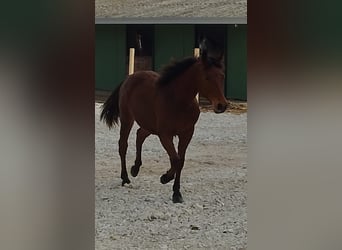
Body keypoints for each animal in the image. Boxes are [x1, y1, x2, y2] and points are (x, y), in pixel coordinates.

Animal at [99, 49, 227, 203]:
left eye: (222, 76)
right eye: (207, 77)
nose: (221, 105)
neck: (179, 101)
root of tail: (129, 78)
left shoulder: (187, 133)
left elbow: (180, 161)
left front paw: (176, 193)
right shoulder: (165, 135)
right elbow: (175, 159)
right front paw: (165, 178)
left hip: (149, 125)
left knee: (140, 135)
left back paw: (135, 168)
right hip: (127, 119)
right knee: (123, 145)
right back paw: (125, 178)